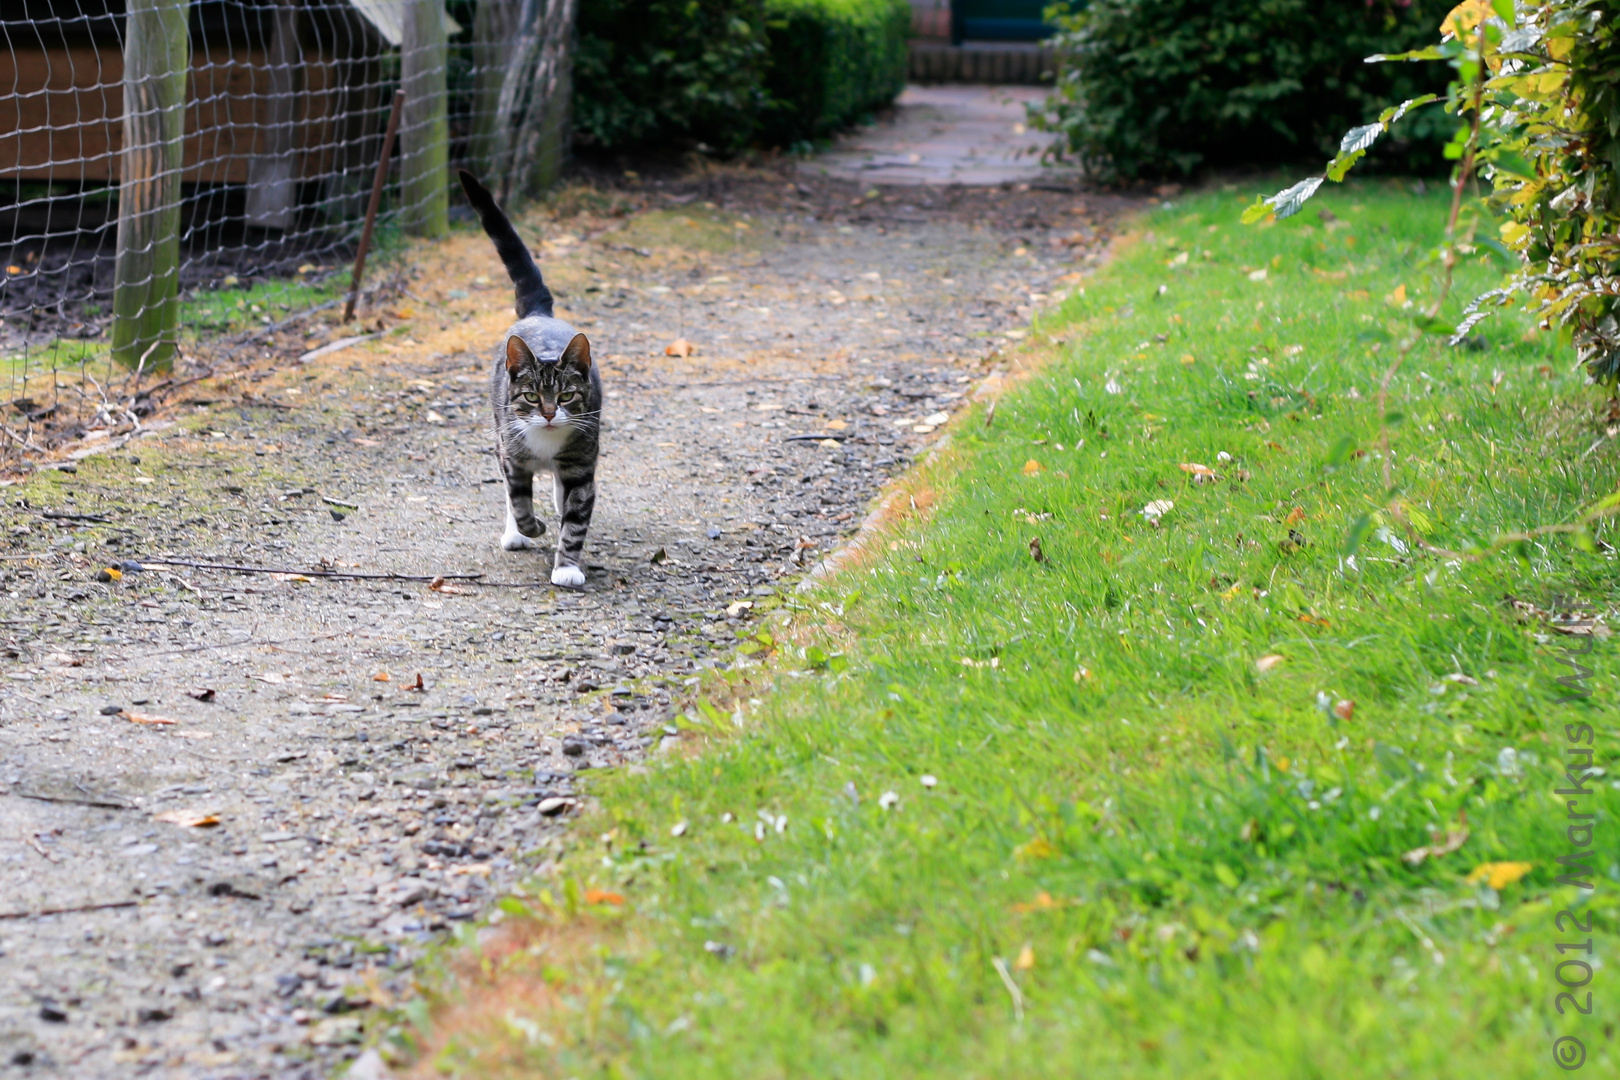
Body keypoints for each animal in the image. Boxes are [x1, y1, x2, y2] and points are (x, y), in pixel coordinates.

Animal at [463, 170, 602, 592]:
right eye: (530, 396)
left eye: (567, 395)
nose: (550, 413)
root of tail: (540, 314)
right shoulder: (512, 454)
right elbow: (519, 500)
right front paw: (530, 528)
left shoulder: (581, 464)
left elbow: (576, 520)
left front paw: (567, 566)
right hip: (498, 429)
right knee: (511, 494)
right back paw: (516, 531)